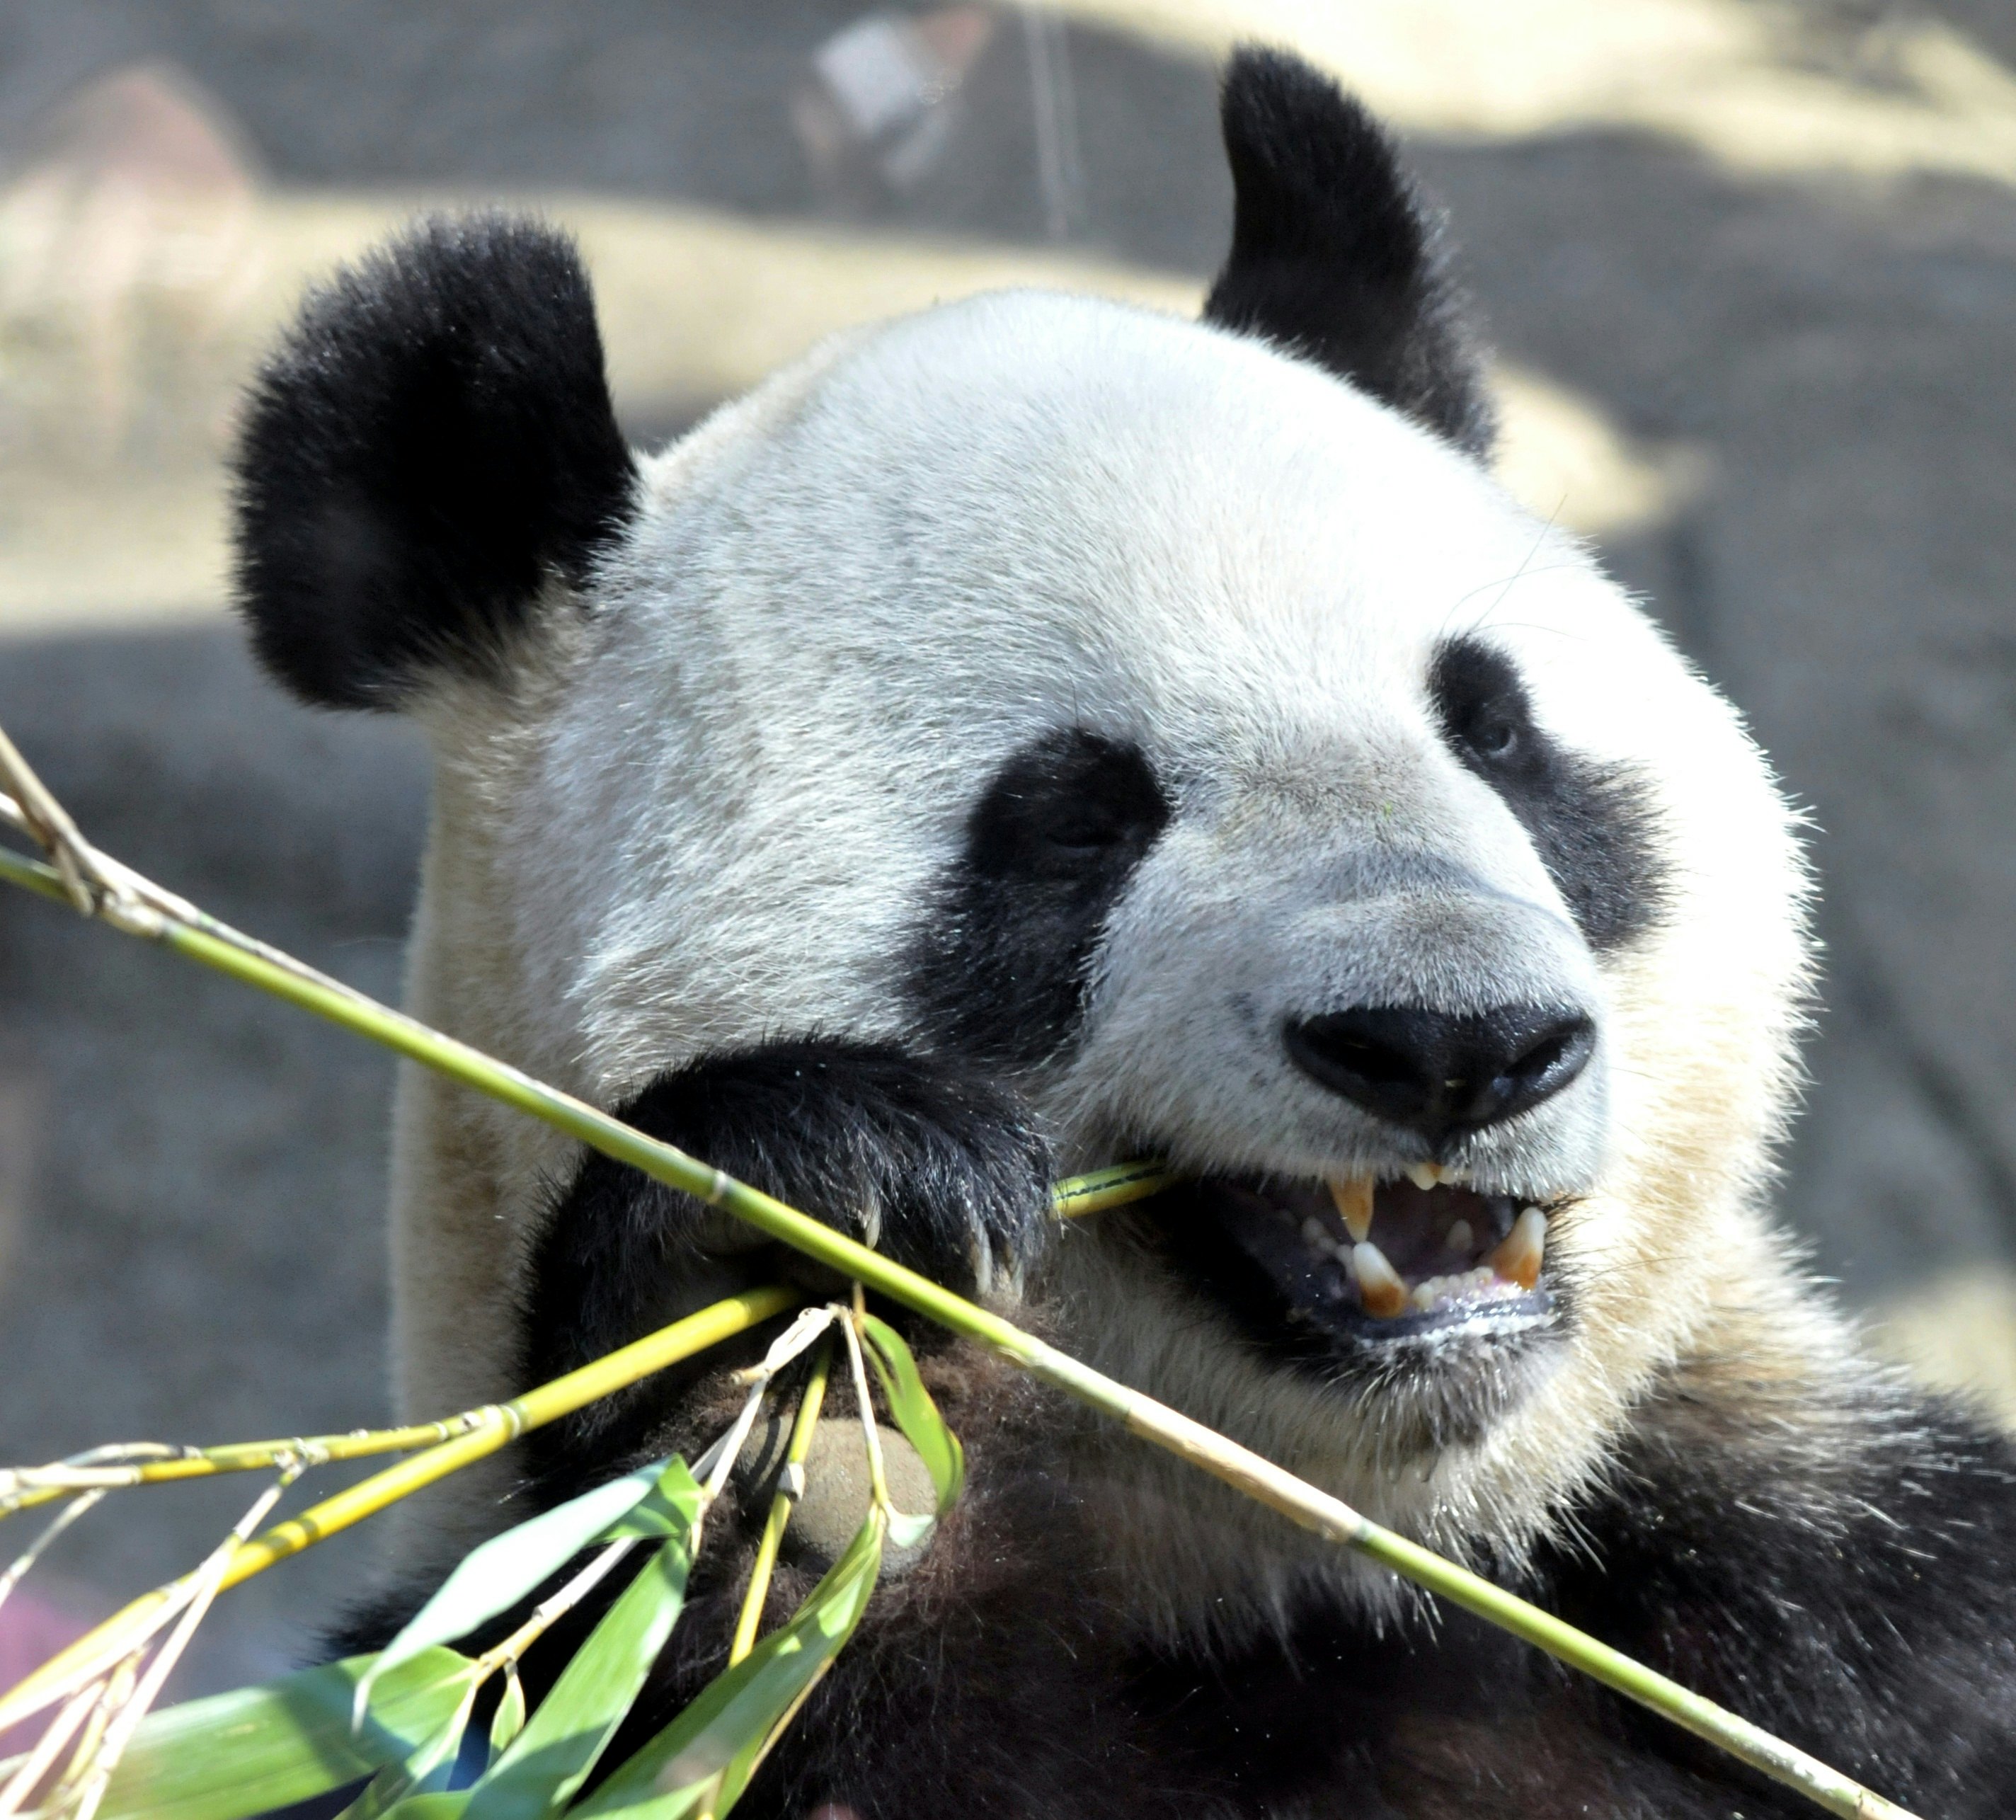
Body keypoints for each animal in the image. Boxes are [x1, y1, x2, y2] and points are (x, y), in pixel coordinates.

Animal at [230, 46, 2016, 1820]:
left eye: (1496, 732)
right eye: (1076, 816)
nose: (1454, 1044)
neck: (1307, 1561)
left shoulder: (1807, 1568)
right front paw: (795, 1269)